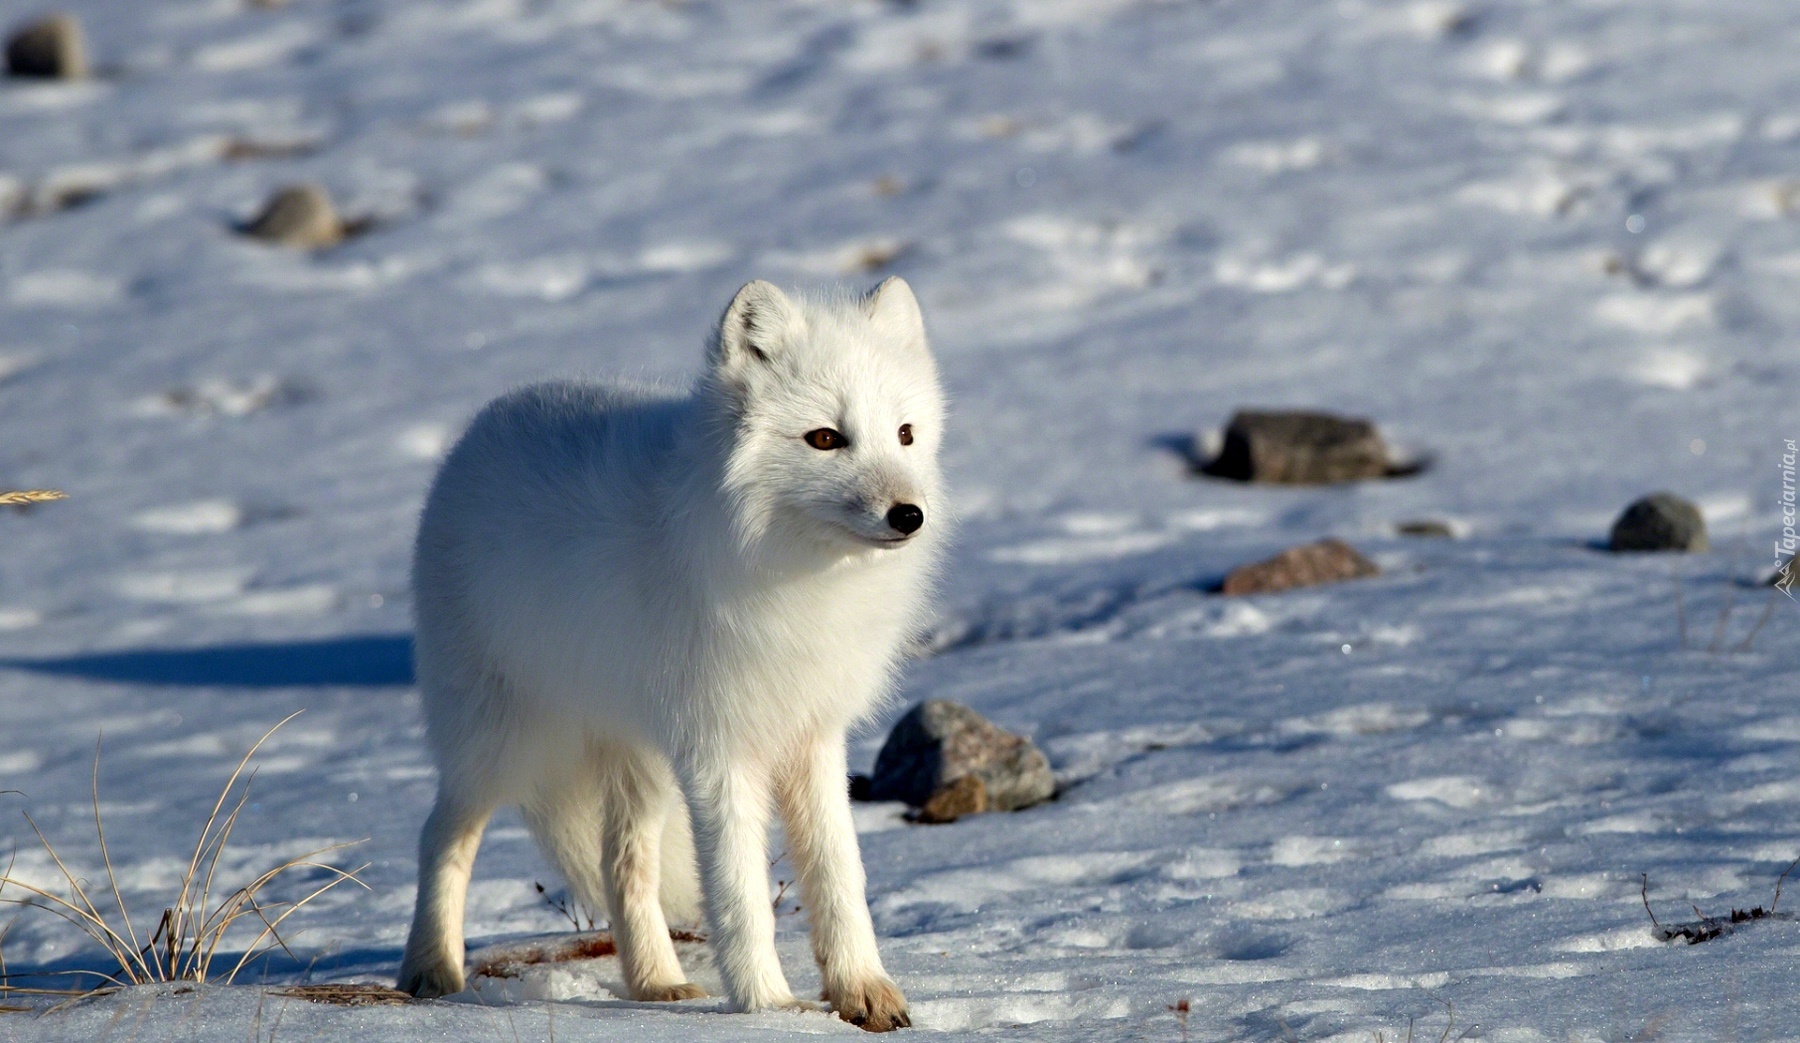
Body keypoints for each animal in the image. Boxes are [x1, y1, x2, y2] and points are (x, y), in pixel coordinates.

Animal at [401, 273, 950, 1030]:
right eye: (825, 438)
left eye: (905, 433)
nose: (908, 515)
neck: (794, 575)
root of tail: (478, 431)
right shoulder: (718, 749)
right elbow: (740, 894)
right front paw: (768, 1007)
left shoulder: (811, 733)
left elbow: (840, 874)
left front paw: (864, 991)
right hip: (503, 741)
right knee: (440, 835)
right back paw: (431, 970)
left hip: (638, 757)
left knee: (620, 861)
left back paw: (656, 981)